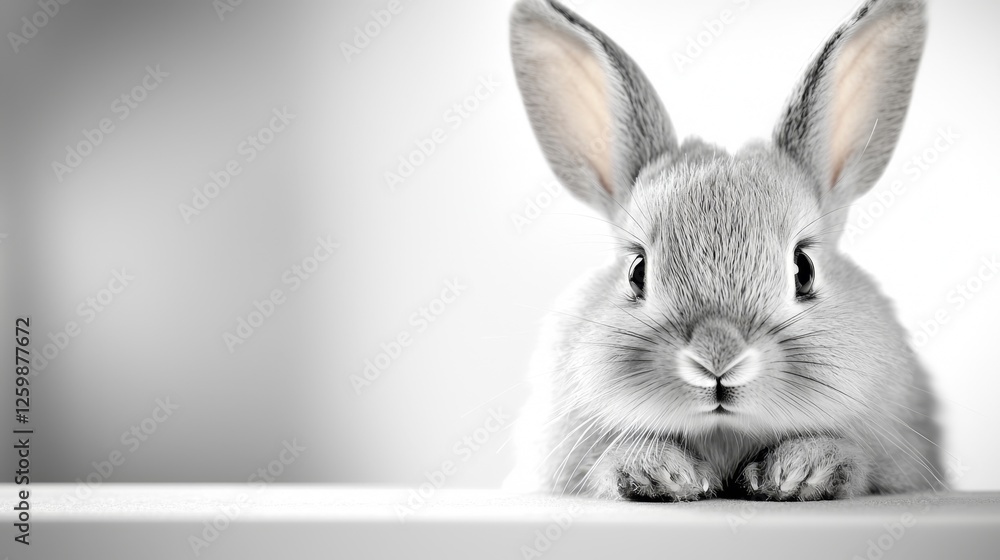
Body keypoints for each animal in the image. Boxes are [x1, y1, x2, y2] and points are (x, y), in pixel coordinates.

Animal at [504, 0, 944, 501]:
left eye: (804, 269)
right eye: (637, 271)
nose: (718, 358)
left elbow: (854, 462)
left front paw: (797, 471)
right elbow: (605, 464)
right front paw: (664, 474)